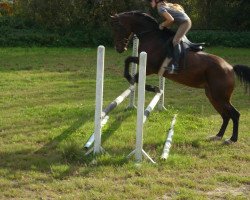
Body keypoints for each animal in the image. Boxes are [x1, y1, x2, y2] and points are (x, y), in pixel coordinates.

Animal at [111, 10, 250, 144]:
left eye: (117, 28)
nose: (119, 48)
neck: (151, 36)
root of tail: (230, 68)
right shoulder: (145, 64)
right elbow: (129, 62)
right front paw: (143, 83)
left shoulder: (150, 67)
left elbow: (134, 72)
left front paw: (153, 88)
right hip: (212, 96)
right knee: (226, 115)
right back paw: (218, 136)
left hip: (220, 96)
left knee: (234, 114)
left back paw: (232, 139)